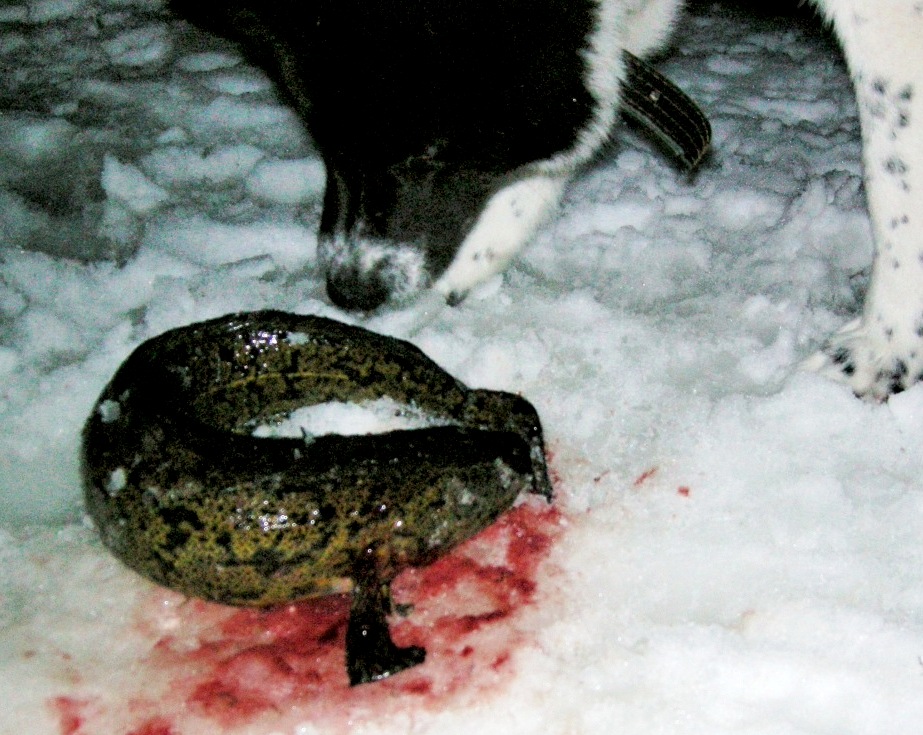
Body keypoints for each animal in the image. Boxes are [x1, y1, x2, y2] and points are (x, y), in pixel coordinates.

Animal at [169, 0, 923, 401]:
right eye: (323, 142)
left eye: (424, 153)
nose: (349, 290)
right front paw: (481, 256)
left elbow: (893, 164)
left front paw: (883, 349)